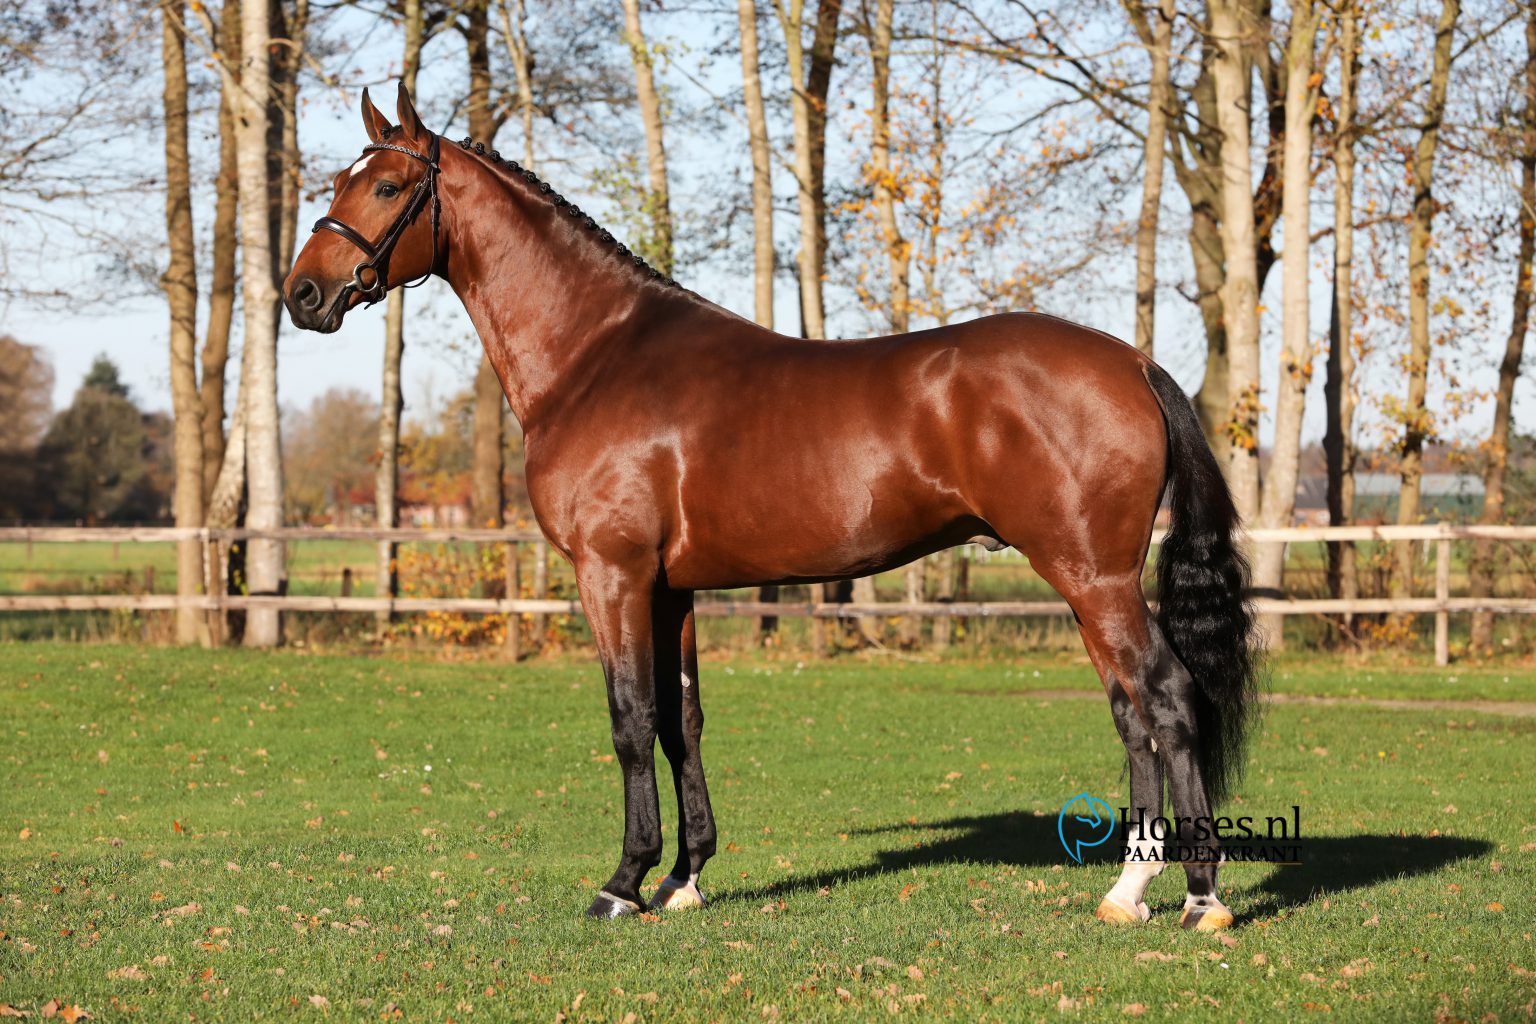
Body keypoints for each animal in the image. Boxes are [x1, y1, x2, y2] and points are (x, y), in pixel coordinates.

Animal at [284, 84, 1261, 931]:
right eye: (336, 182)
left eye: (386, 185)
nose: (304, 294)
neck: (597, 355)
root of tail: (1132, 361)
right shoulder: (671, 589)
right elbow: (681, 724)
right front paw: (682, 879)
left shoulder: (612, 575)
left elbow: (630, 721)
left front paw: (621, 884)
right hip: (1090, 583)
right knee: (1130, 712)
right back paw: (1128, 890)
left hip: (1093, 576)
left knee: (1165, 699)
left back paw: (1198, 898)